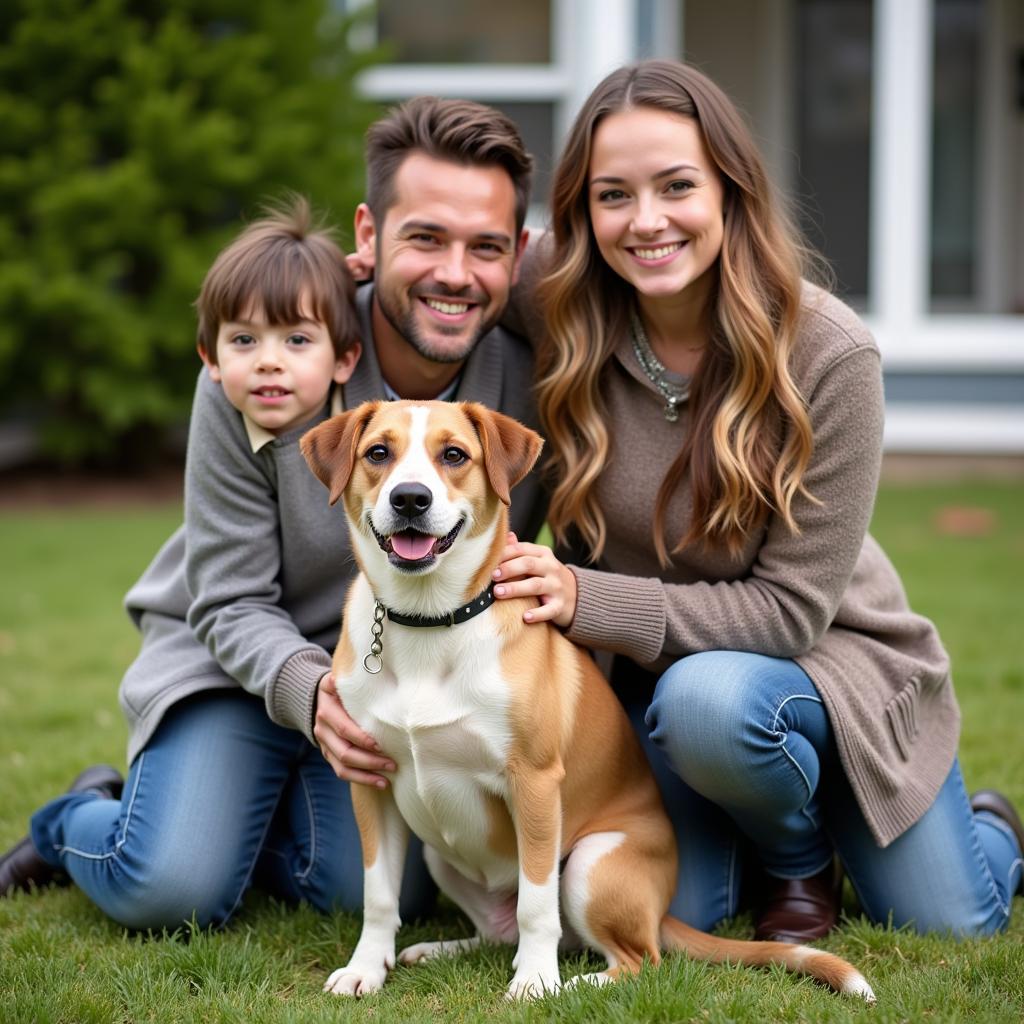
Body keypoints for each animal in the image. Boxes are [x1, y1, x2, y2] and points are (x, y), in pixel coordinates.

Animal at [299, 403, 876, 1003]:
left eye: (454, 455)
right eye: (378, 453)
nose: (410, 498)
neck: (428, 621)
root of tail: (660, 910)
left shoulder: (534, 783)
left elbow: (536, 904)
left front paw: (534, 982)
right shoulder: (370, 781)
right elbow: (379, 895)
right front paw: (367, 968)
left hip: (590, 863)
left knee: (636, 958)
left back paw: (573, 982)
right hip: (444, 855)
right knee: (497, 934)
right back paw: (441, 950)